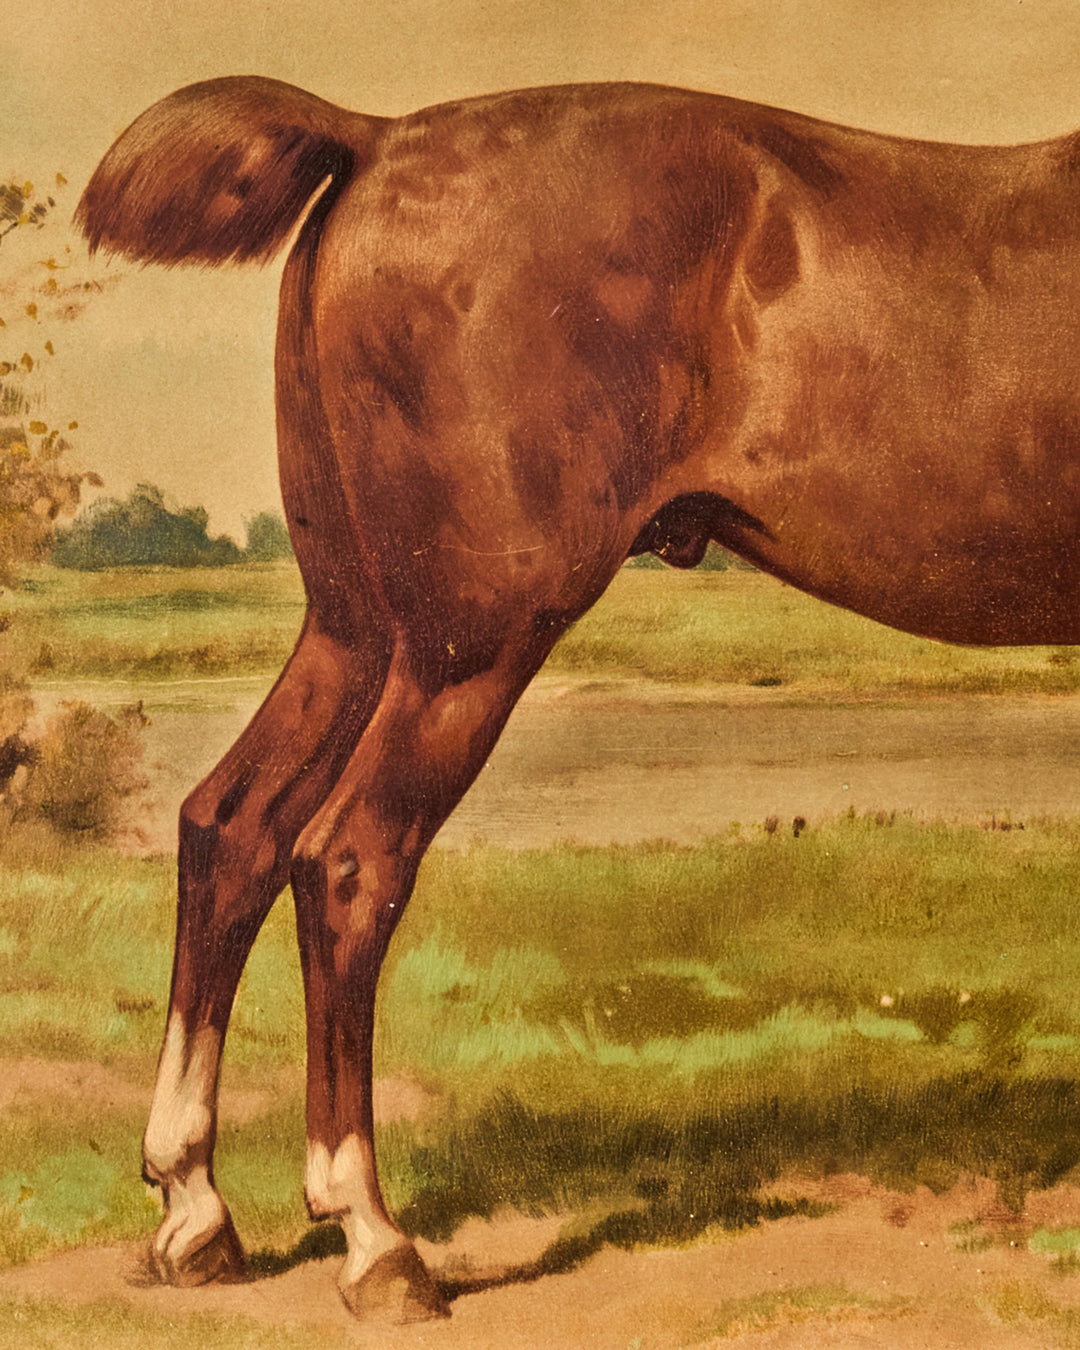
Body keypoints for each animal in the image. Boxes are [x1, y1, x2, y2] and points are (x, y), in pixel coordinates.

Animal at [78, 74, 1080, 1322]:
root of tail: (381, 140)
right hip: (465, 650)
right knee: (349, 860)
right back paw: (376, 1242)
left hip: (353, 629)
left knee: (232, 828)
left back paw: (195, 1212)